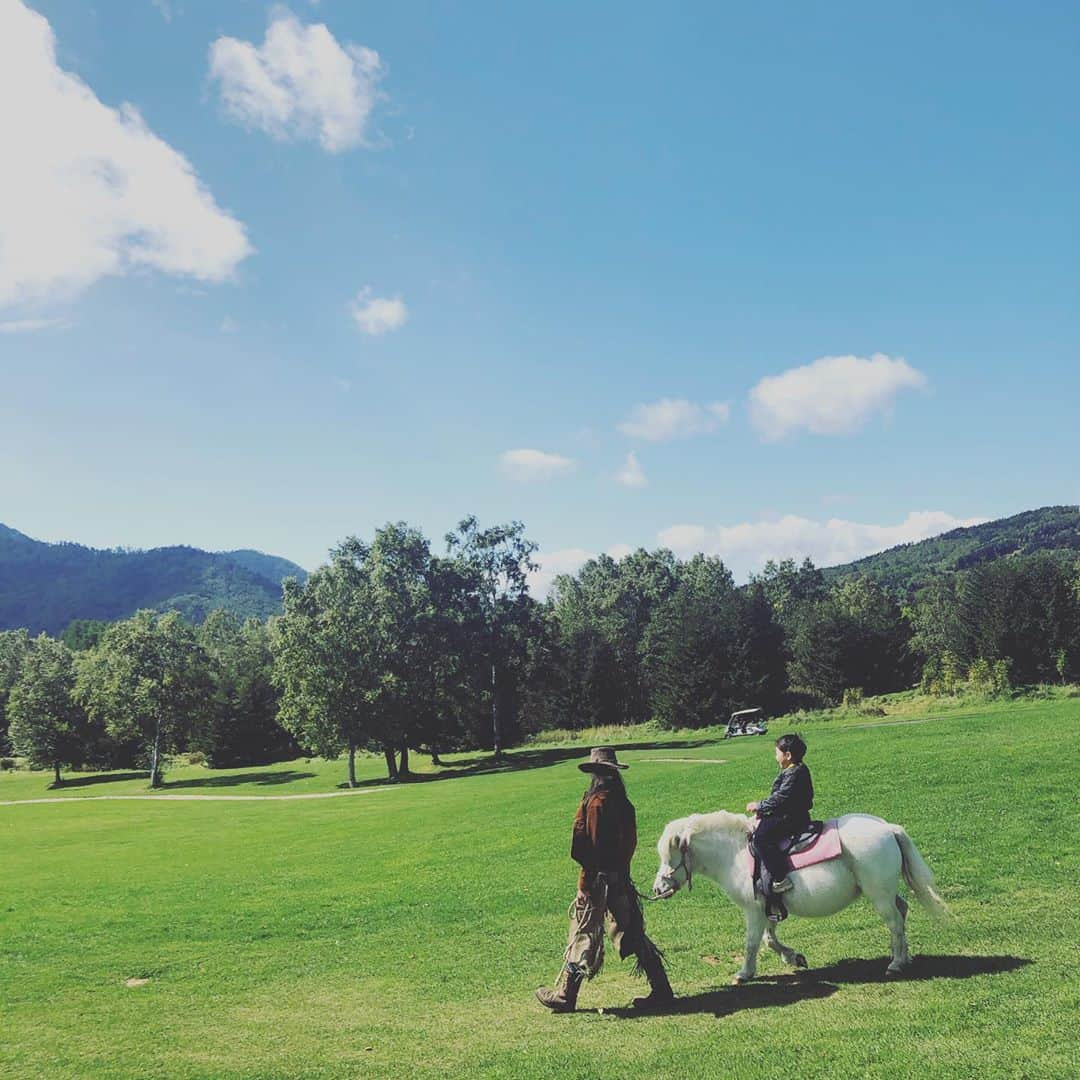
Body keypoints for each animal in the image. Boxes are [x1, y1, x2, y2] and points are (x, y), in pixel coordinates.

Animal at [648, 812, 946, 984]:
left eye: (669, 857)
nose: (657, 889)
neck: (736, 853)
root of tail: (888, 828)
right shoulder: (768, 907)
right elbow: (769, 940)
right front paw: (795, 958)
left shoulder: (753, 910)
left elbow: (752, 943)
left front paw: (744, 973)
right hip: (885, 892)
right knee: (902, 912)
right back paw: (903, 958)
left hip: (879, 894)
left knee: (895, 922)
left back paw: (896, 964)